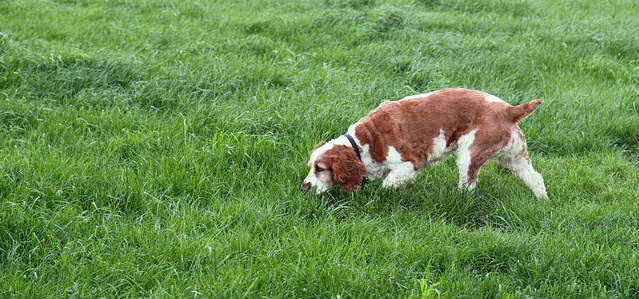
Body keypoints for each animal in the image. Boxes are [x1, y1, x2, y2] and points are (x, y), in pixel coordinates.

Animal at [302, 87, 548, 199]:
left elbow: (388, 183)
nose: (304, 187)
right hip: (514, 156)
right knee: (536, 178)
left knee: (468, 185)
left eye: (320, 169)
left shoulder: (410, 162)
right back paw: (542, 201)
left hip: (470, 154)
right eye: (311, 167)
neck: (364, 143)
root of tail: (509, 110)